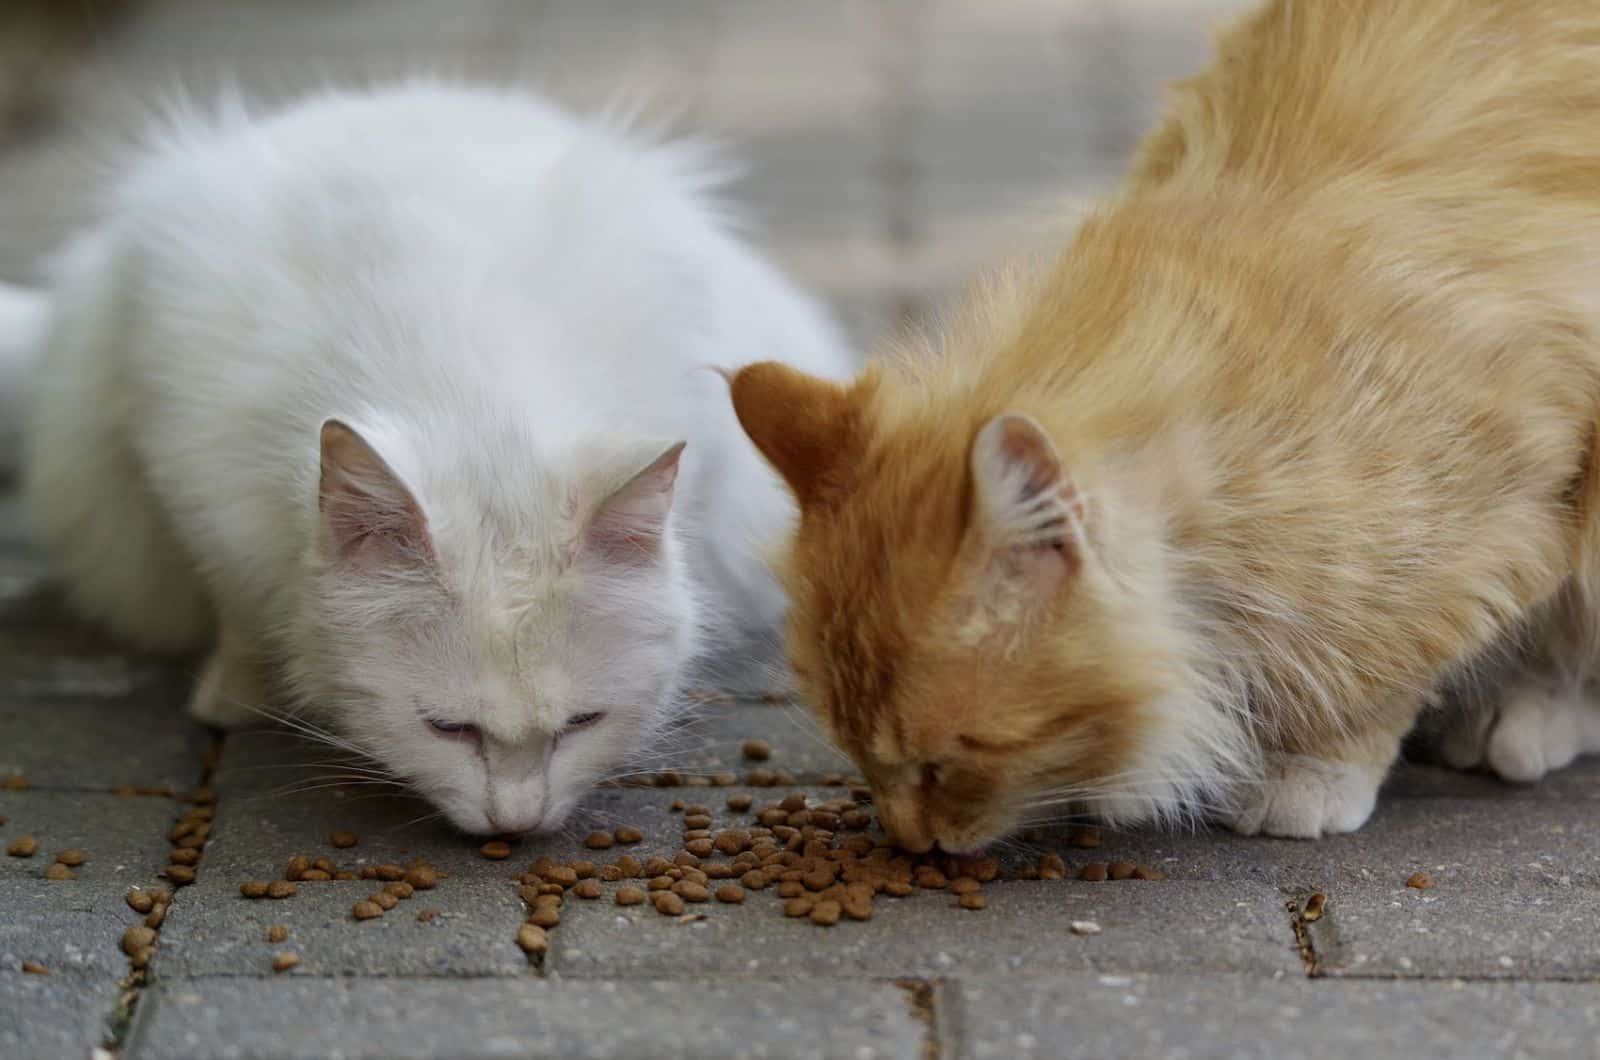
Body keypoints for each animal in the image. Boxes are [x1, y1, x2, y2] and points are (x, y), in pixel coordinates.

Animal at [6, 83, 857, 839]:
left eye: (582, 723)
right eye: (447, 729)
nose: (514, 824)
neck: (474, 398)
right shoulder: (187, 465)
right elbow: (239, 607)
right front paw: (236, 691)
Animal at [732, 0, 1600, 851]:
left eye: (949, 760)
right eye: (853, 752)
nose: (906, 838)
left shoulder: (1501, 531)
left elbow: (1374, 671)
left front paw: (1310, 769)